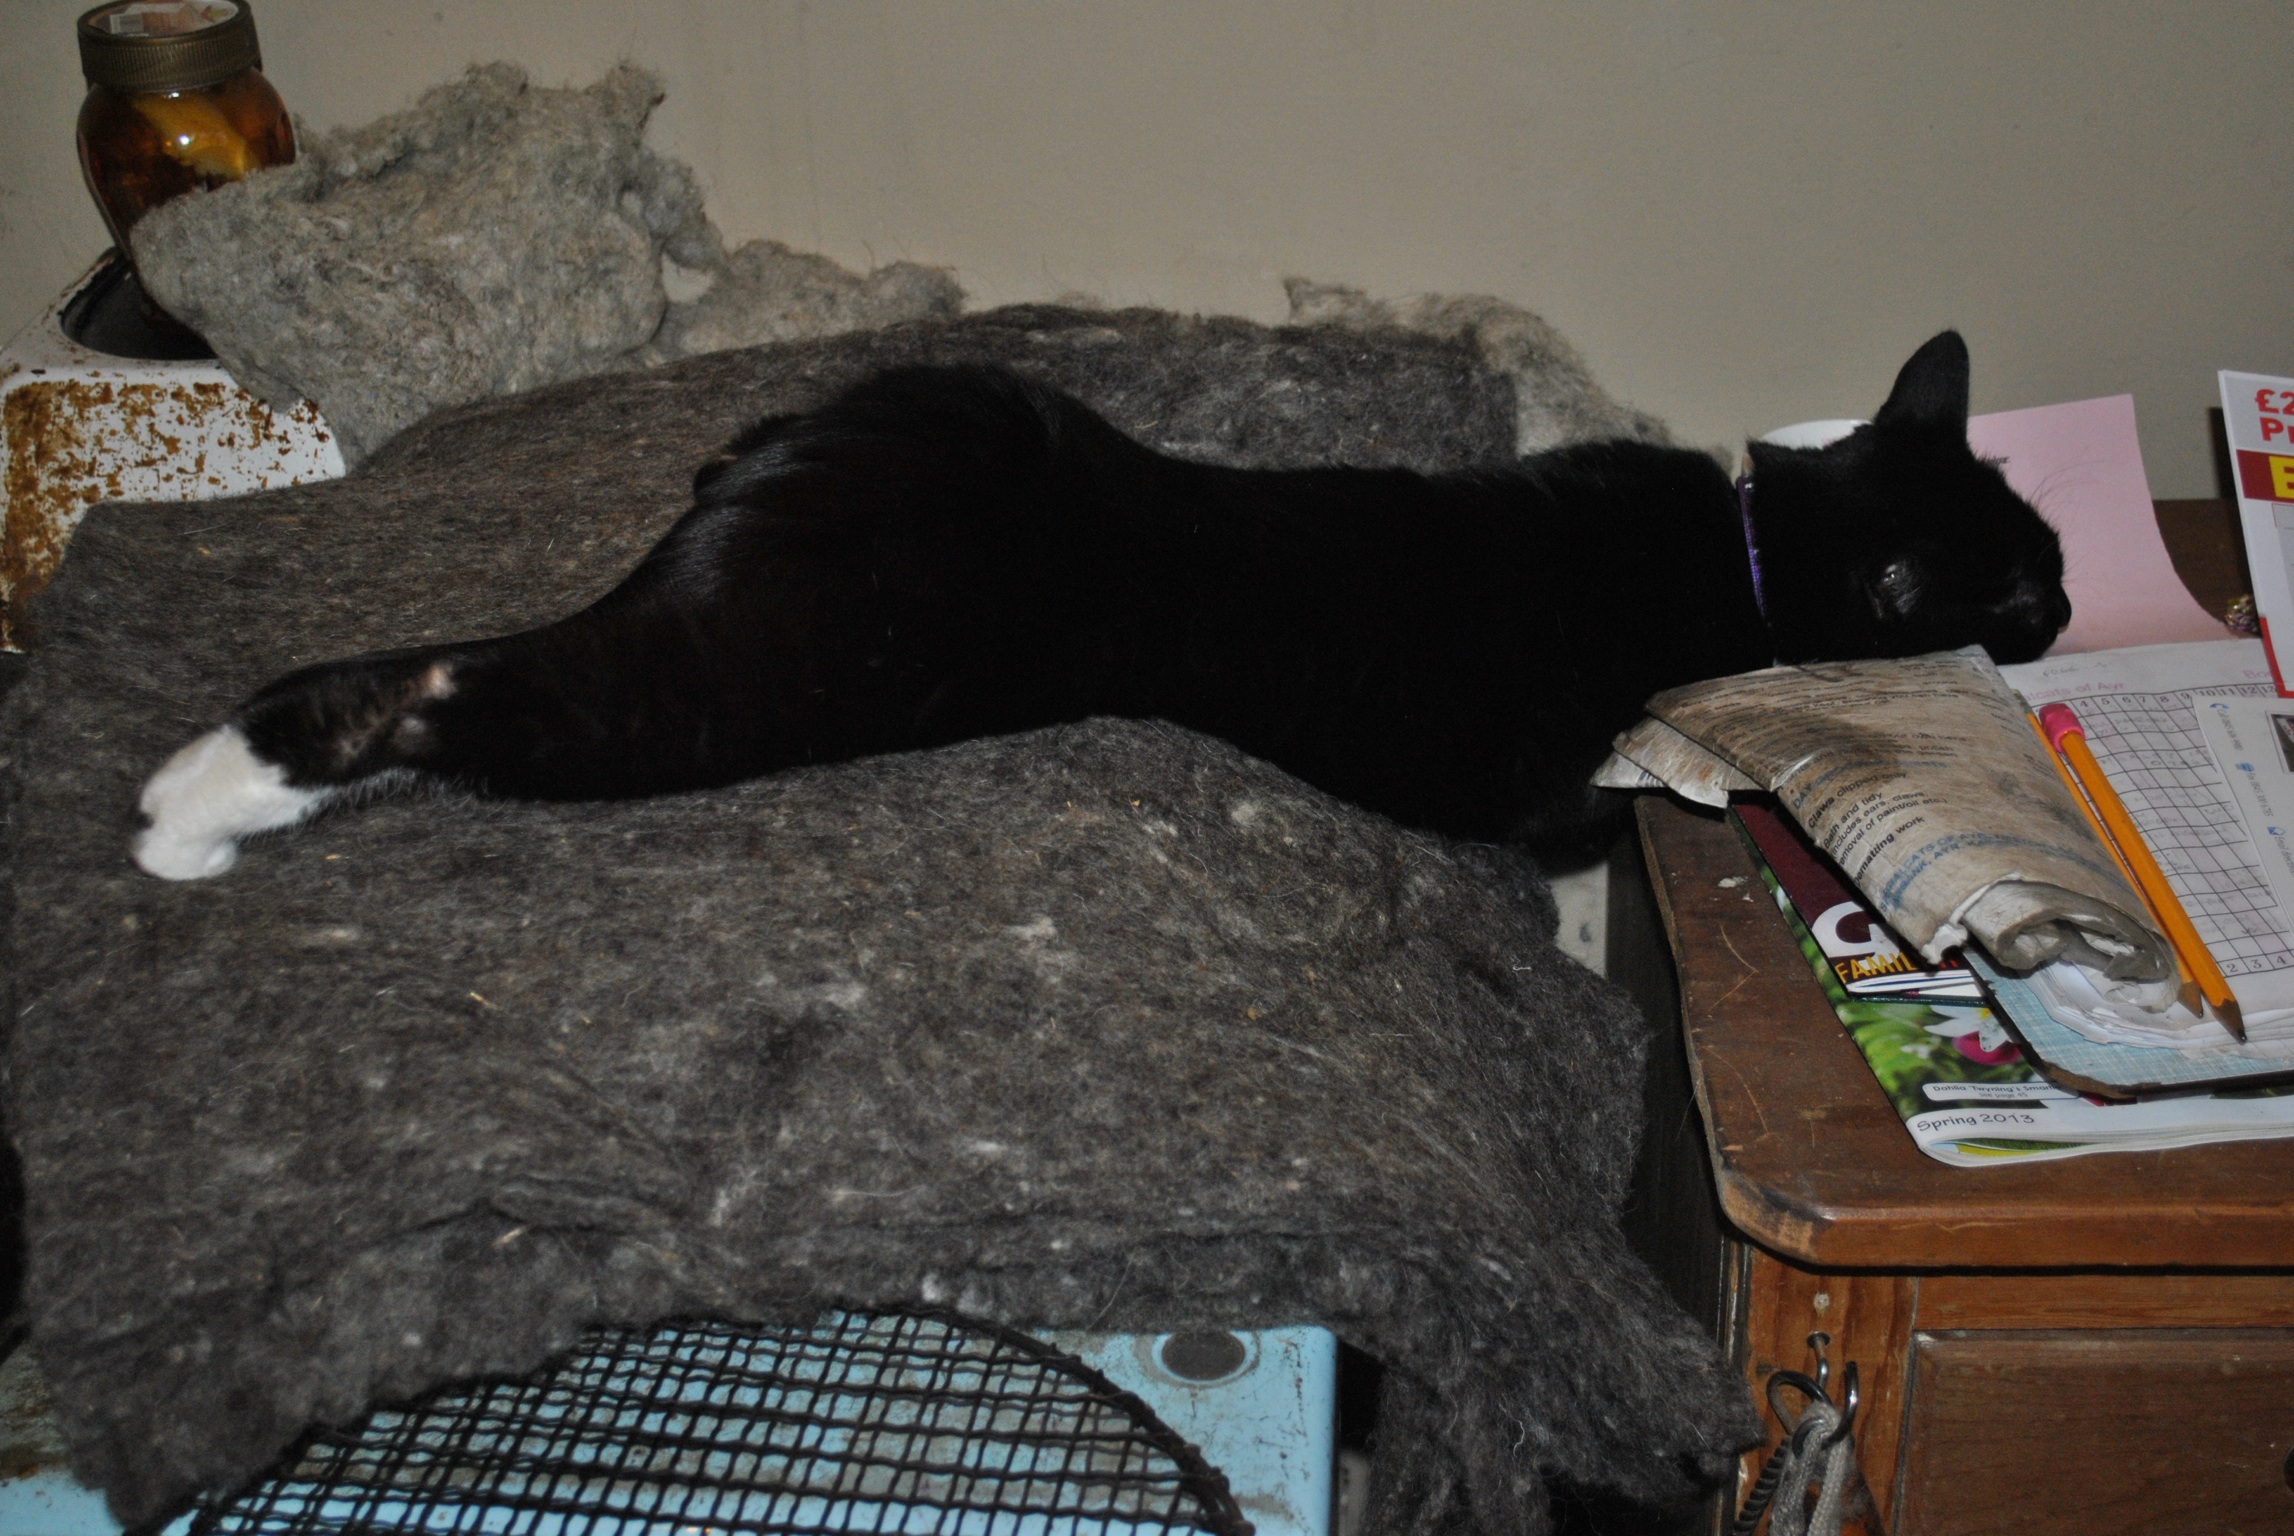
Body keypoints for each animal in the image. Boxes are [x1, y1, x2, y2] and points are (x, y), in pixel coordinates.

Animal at [134, 327, 2073, 880]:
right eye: (2028, 579)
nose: (2067, 604)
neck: (1739, 534)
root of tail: (760, 477)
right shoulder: (1507, 782)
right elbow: (1580, 810)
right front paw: (1664, 792)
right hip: (757, 676)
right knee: (463, 693)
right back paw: (194, 808)